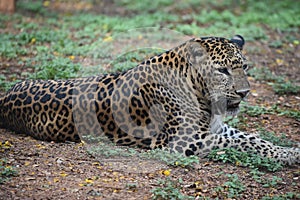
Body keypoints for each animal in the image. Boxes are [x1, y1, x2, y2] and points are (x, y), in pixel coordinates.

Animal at [0, 35, 298, 165]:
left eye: (244, 67)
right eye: (222, 70)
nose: (244, 93)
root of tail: (6, 95)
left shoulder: (215, 128)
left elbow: (253, 138)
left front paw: (289, 151)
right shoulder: (185, 141)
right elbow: (240, 143)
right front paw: (287, 155)